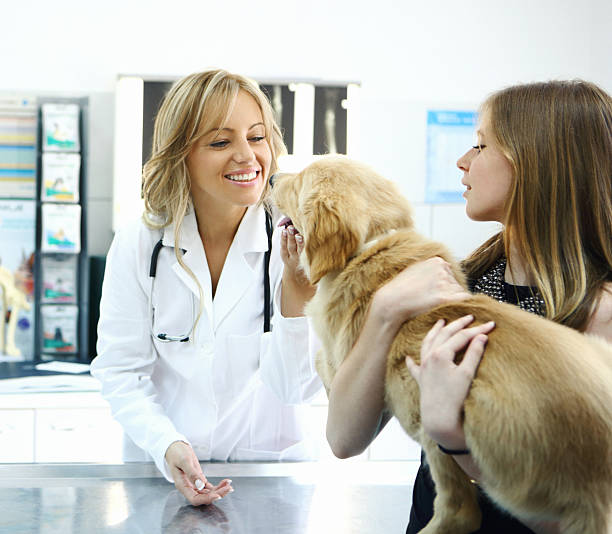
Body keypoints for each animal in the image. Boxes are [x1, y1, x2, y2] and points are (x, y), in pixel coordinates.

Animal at [270, 156, 612, 534]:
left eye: (299, 182)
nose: (271, 178)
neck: (372, 245)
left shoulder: (341, 361)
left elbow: (319, 359)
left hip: (436, 415)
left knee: (462, 510)